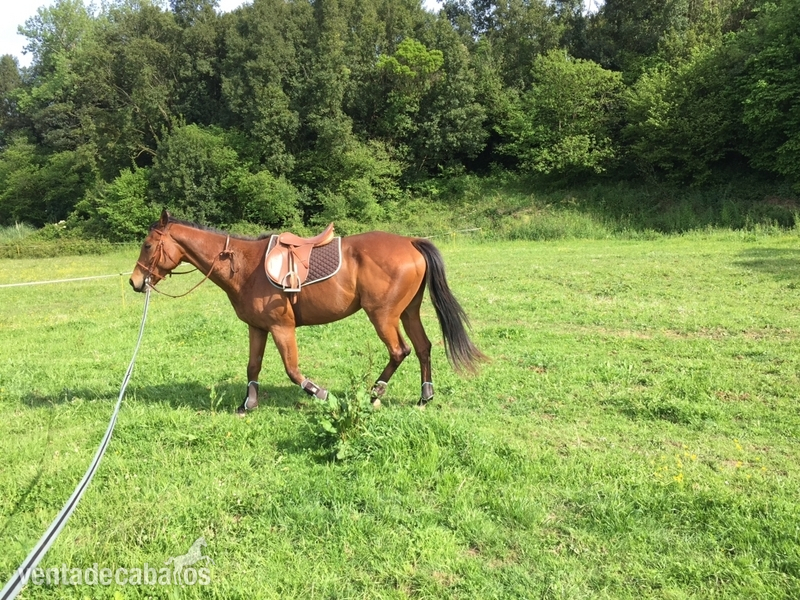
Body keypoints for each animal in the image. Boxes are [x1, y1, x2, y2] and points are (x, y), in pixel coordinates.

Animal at [130, 210, 485, 414]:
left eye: (147, 246)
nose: (135, 282)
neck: (243, 265)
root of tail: (410, 241)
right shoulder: (258, 327)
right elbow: (253, 366)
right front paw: (248, 404)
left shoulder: (281, 327)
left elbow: (292, 370)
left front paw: (322, 394)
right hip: (408, 312)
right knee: (423, 348)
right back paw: (425, 397)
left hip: (382, 316)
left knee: (401, 350)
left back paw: (375, 393)